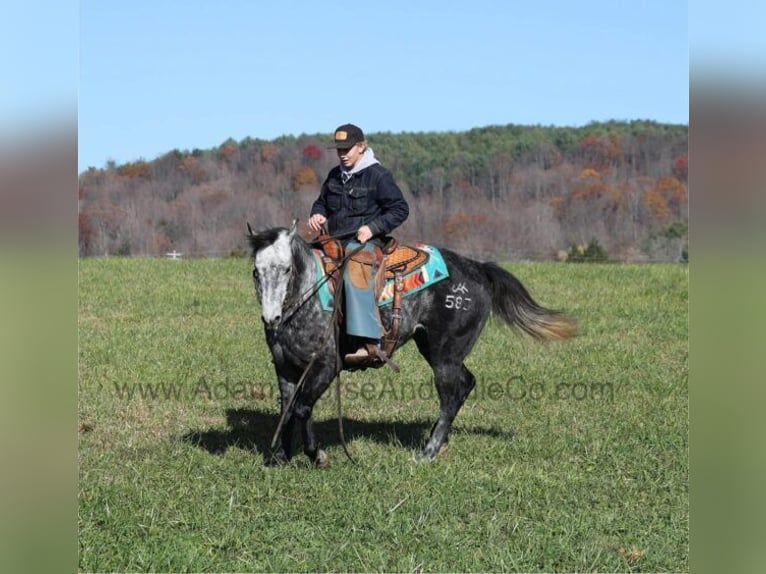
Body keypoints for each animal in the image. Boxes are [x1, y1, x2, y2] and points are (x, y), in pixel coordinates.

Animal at [246, 221, 576, 466]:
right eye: (256, 270)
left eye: (286, 269)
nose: (271, 318)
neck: (309, 298)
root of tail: (479, 268)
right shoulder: (285, 367)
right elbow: (287, 409)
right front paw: (280, 458)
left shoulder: (326, 366)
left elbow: (302, 408)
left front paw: (317, 455)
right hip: (435, 348)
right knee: (466, 383)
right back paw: (438, 441)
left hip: (445, 356)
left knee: (450, 396)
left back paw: (428, 452)